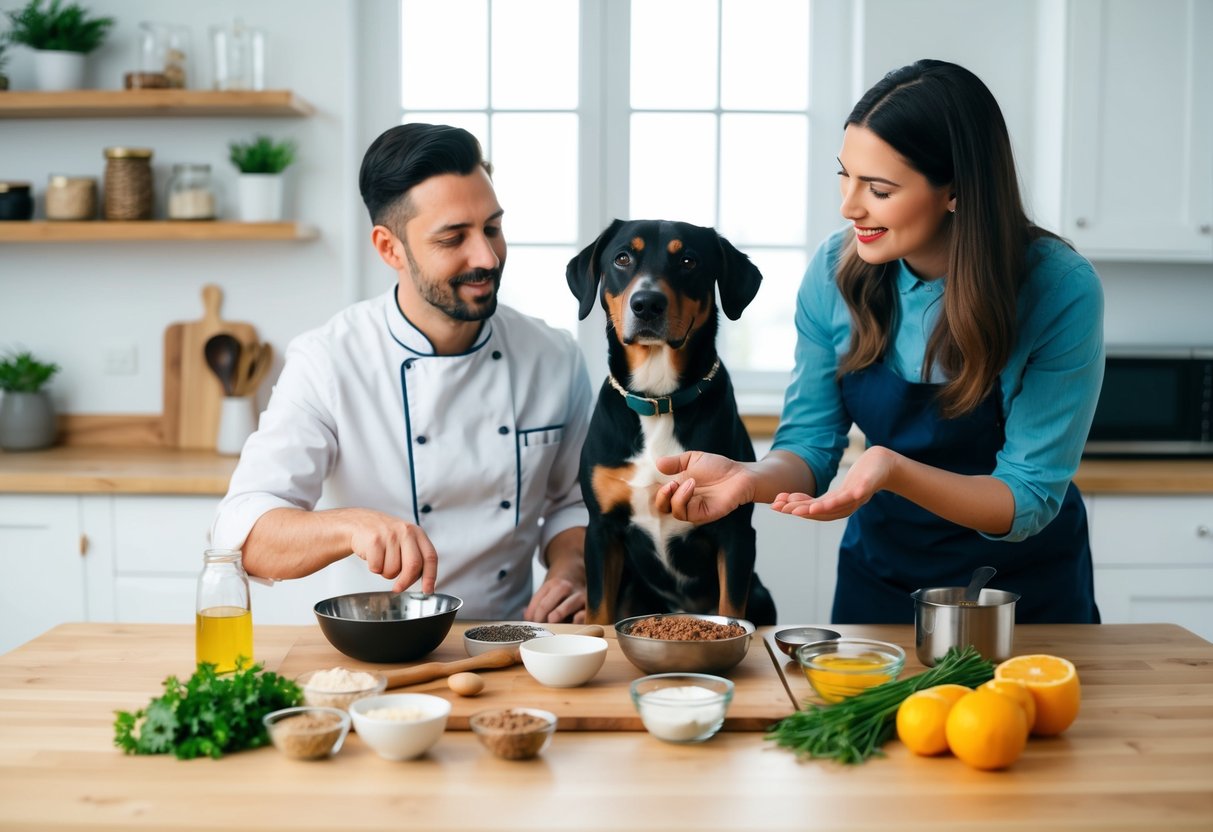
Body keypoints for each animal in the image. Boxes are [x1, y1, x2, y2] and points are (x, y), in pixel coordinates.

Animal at [565, 218, 776, 630]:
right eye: (622, 258)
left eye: (688, 260)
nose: (647, 303)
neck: (659, 401)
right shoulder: (600, 530)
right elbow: (597, 611)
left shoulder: (736, 532)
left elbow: (731, 606)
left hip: (762, 594)